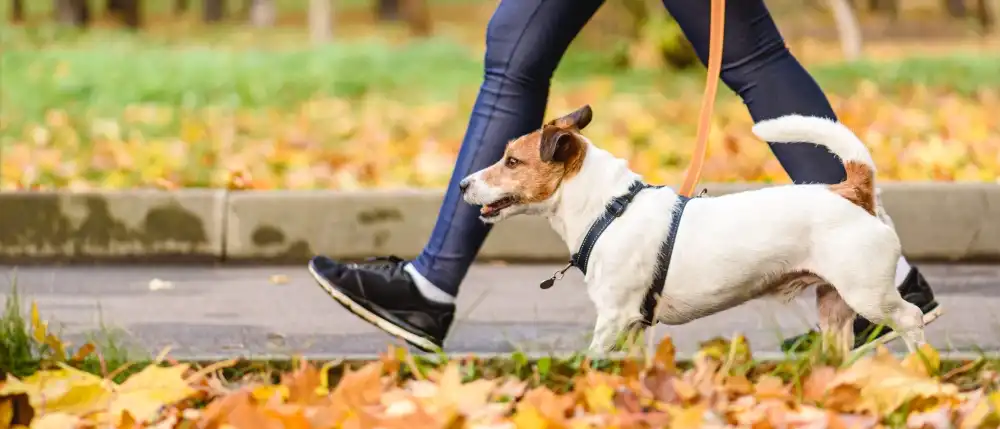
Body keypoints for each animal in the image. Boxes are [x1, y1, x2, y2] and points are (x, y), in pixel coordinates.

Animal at [460, 106, 928, 354]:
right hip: (835, 307)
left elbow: (593, 357)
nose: (463, 184)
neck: (609, 210)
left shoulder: (614, 317)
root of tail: (852, 190)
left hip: (869, 294)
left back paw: (922, 365)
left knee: (912, 317)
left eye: (512, 162)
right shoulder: (633, 326)